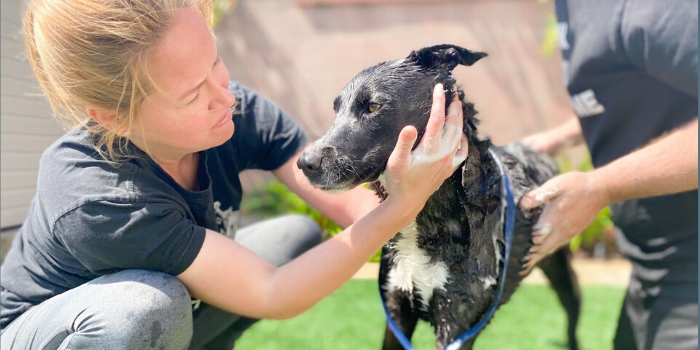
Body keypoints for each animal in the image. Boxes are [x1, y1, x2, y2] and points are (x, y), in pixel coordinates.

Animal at [298, 44, 584, 350]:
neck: (429, 219)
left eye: (373, 106)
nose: (304, 163)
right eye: (336, 110)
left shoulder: (456, 322)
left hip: (560, 266)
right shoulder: (396, 307)